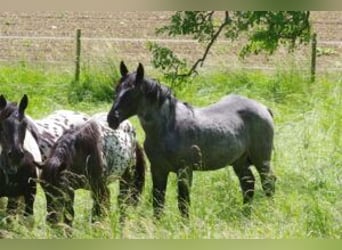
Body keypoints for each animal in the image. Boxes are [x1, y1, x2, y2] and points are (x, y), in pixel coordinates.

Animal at [108, 62, 276, 219]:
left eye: (132, 92)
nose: (112, 119)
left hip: (262, 160)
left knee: (268, 183)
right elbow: (158, 202)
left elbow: (183, 203)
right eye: (117, 89)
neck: (168, 127)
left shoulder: (185, 171)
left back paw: (269, 212)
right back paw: (245, 215)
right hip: (239, 161)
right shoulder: (158, 169)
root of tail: (264, 108)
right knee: (248, 184)